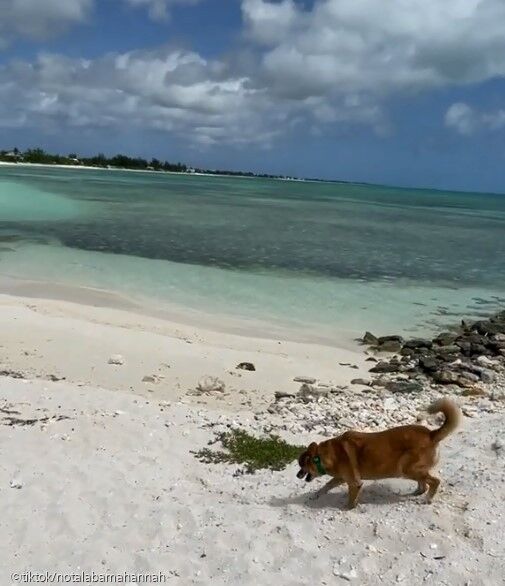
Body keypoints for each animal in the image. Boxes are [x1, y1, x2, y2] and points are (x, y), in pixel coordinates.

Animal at [296, 396, 460, 506]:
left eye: (301, 466)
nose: (297, 475)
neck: (324, 455)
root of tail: (431, 434)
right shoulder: (340, 478)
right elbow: (326, 486)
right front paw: (316, 495)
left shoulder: (354, 482)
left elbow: (351, 499)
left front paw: (347, 508)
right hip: (410, 470)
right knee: (424, 484)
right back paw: (417, 492)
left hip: (407, 469)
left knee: (434, 482)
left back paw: (427, 499)